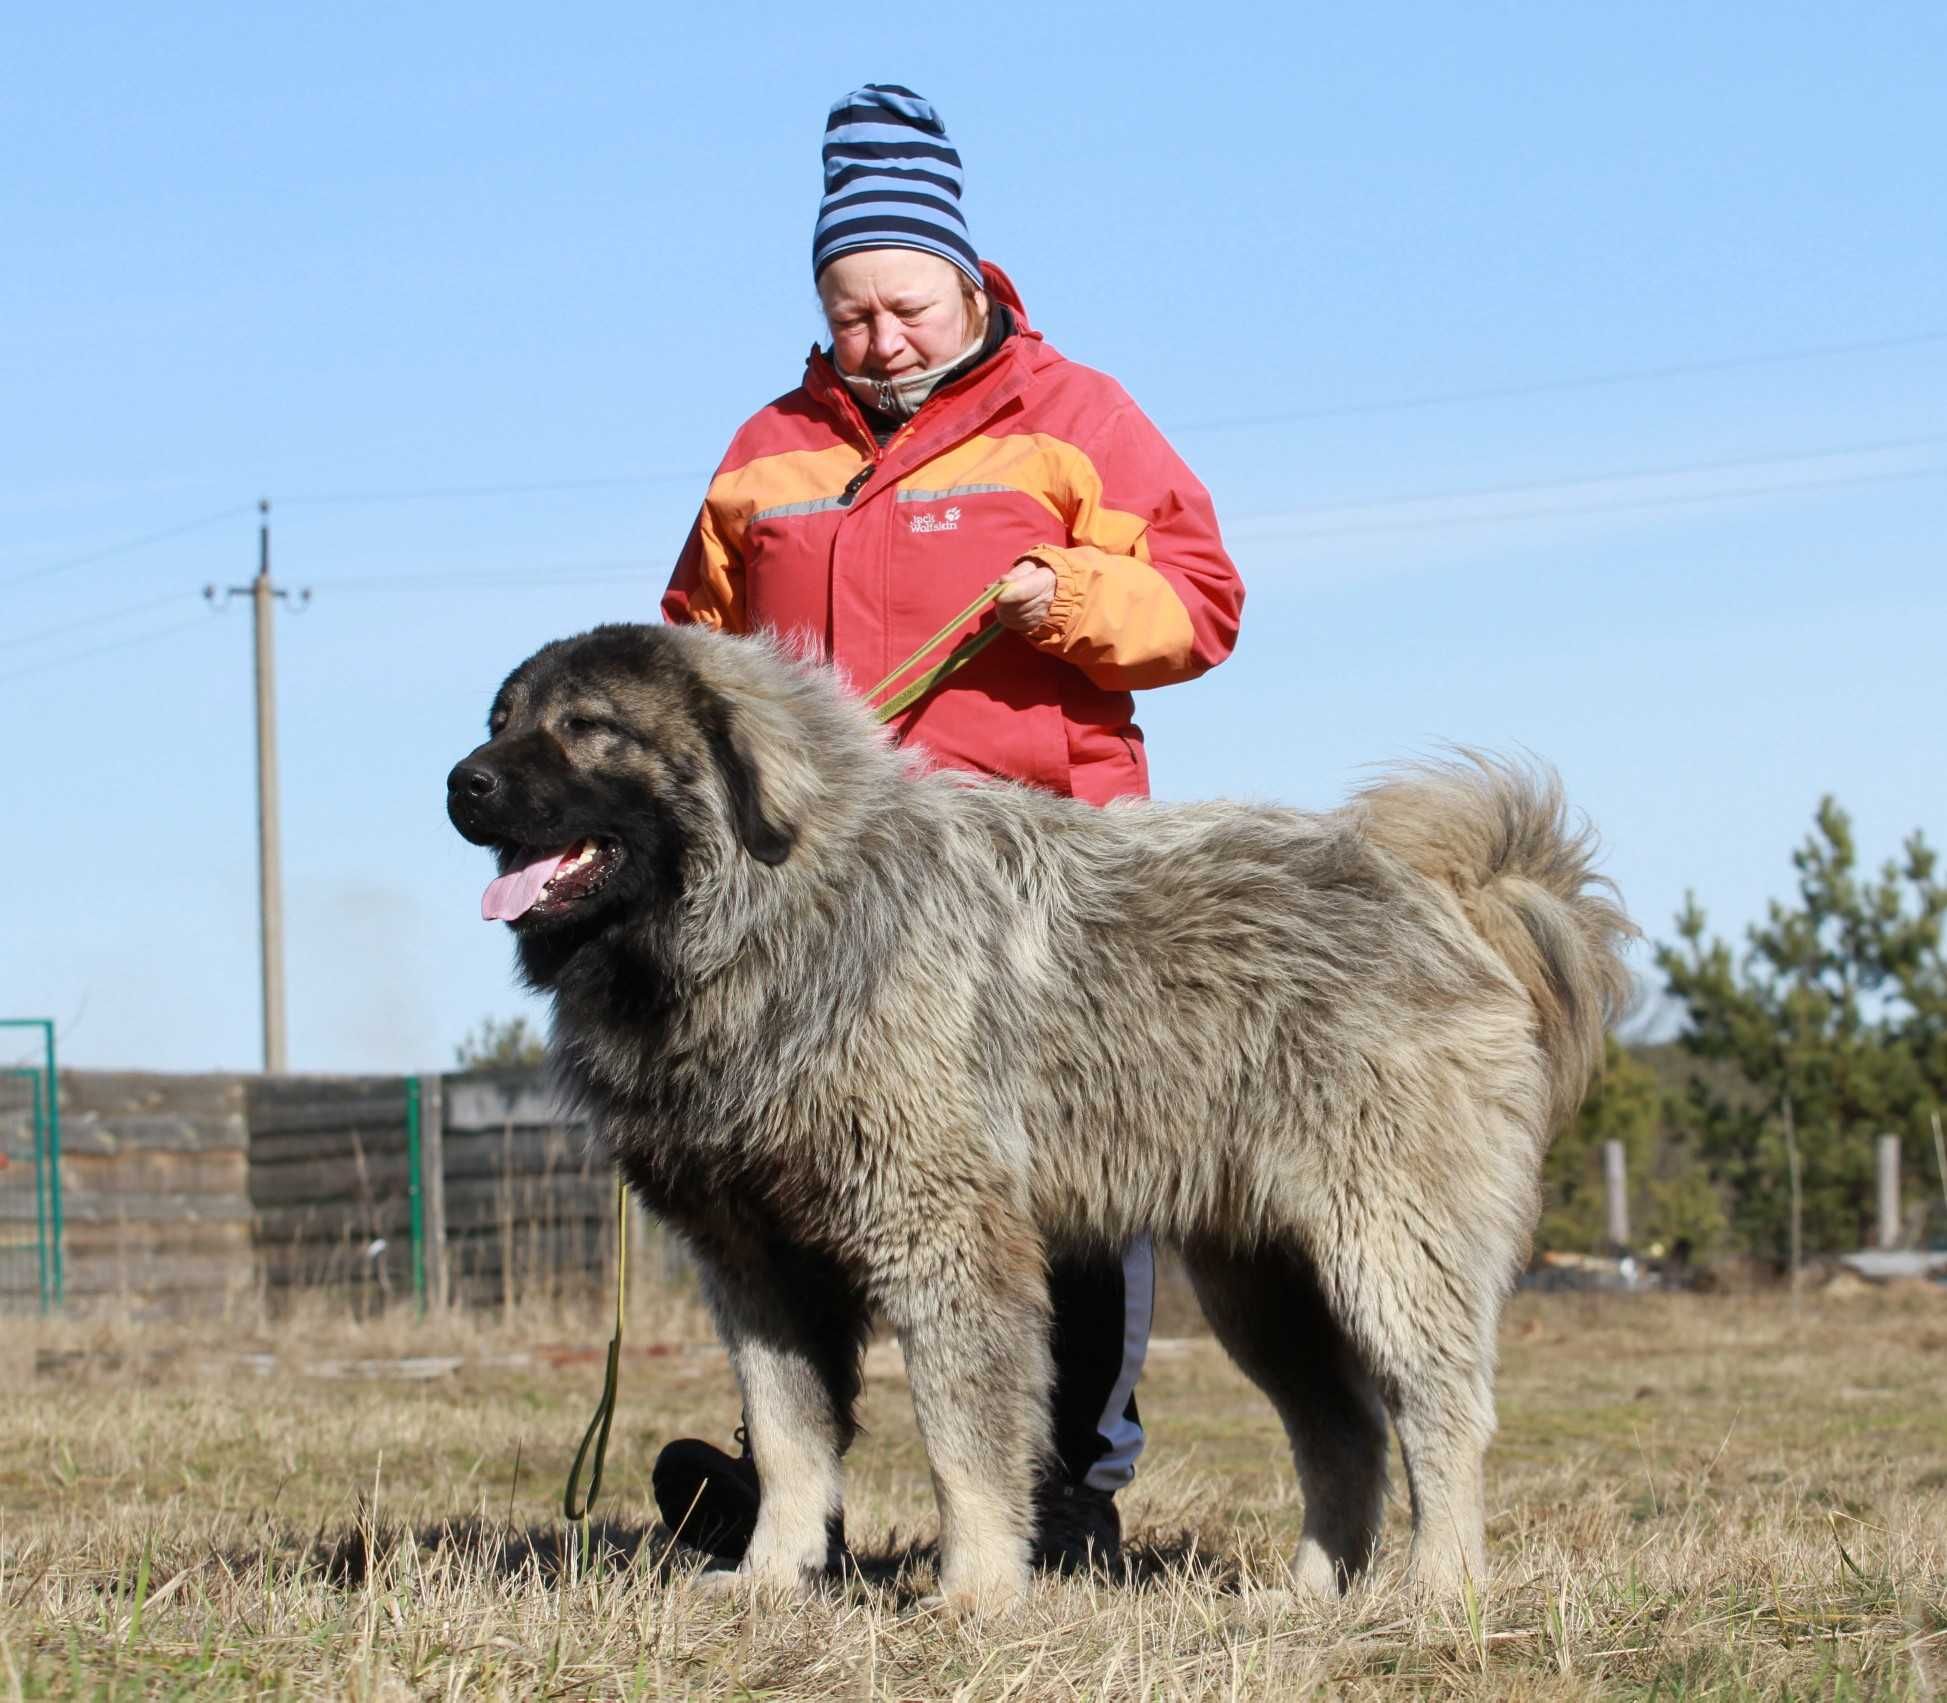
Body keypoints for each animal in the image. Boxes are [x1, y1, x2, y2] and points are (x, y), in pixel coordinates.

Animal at [447, 622, 1635, 1611]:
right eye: (499, 719)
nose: (463, 781)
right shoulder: (756, 1267)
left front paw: (975, 1592)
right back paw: (1306, 1595)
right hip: (1260, 1284)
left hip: (1384, 1247)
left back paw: (1438, 1588)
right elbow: (789, 1441)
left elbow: (962, 1441)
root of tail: (1445, 897)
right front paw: (770, 1579)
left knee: (1439, 1413)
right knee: (1342, 1433)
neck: (766, 917)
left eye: (586, 727)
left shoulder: (946, 1238)